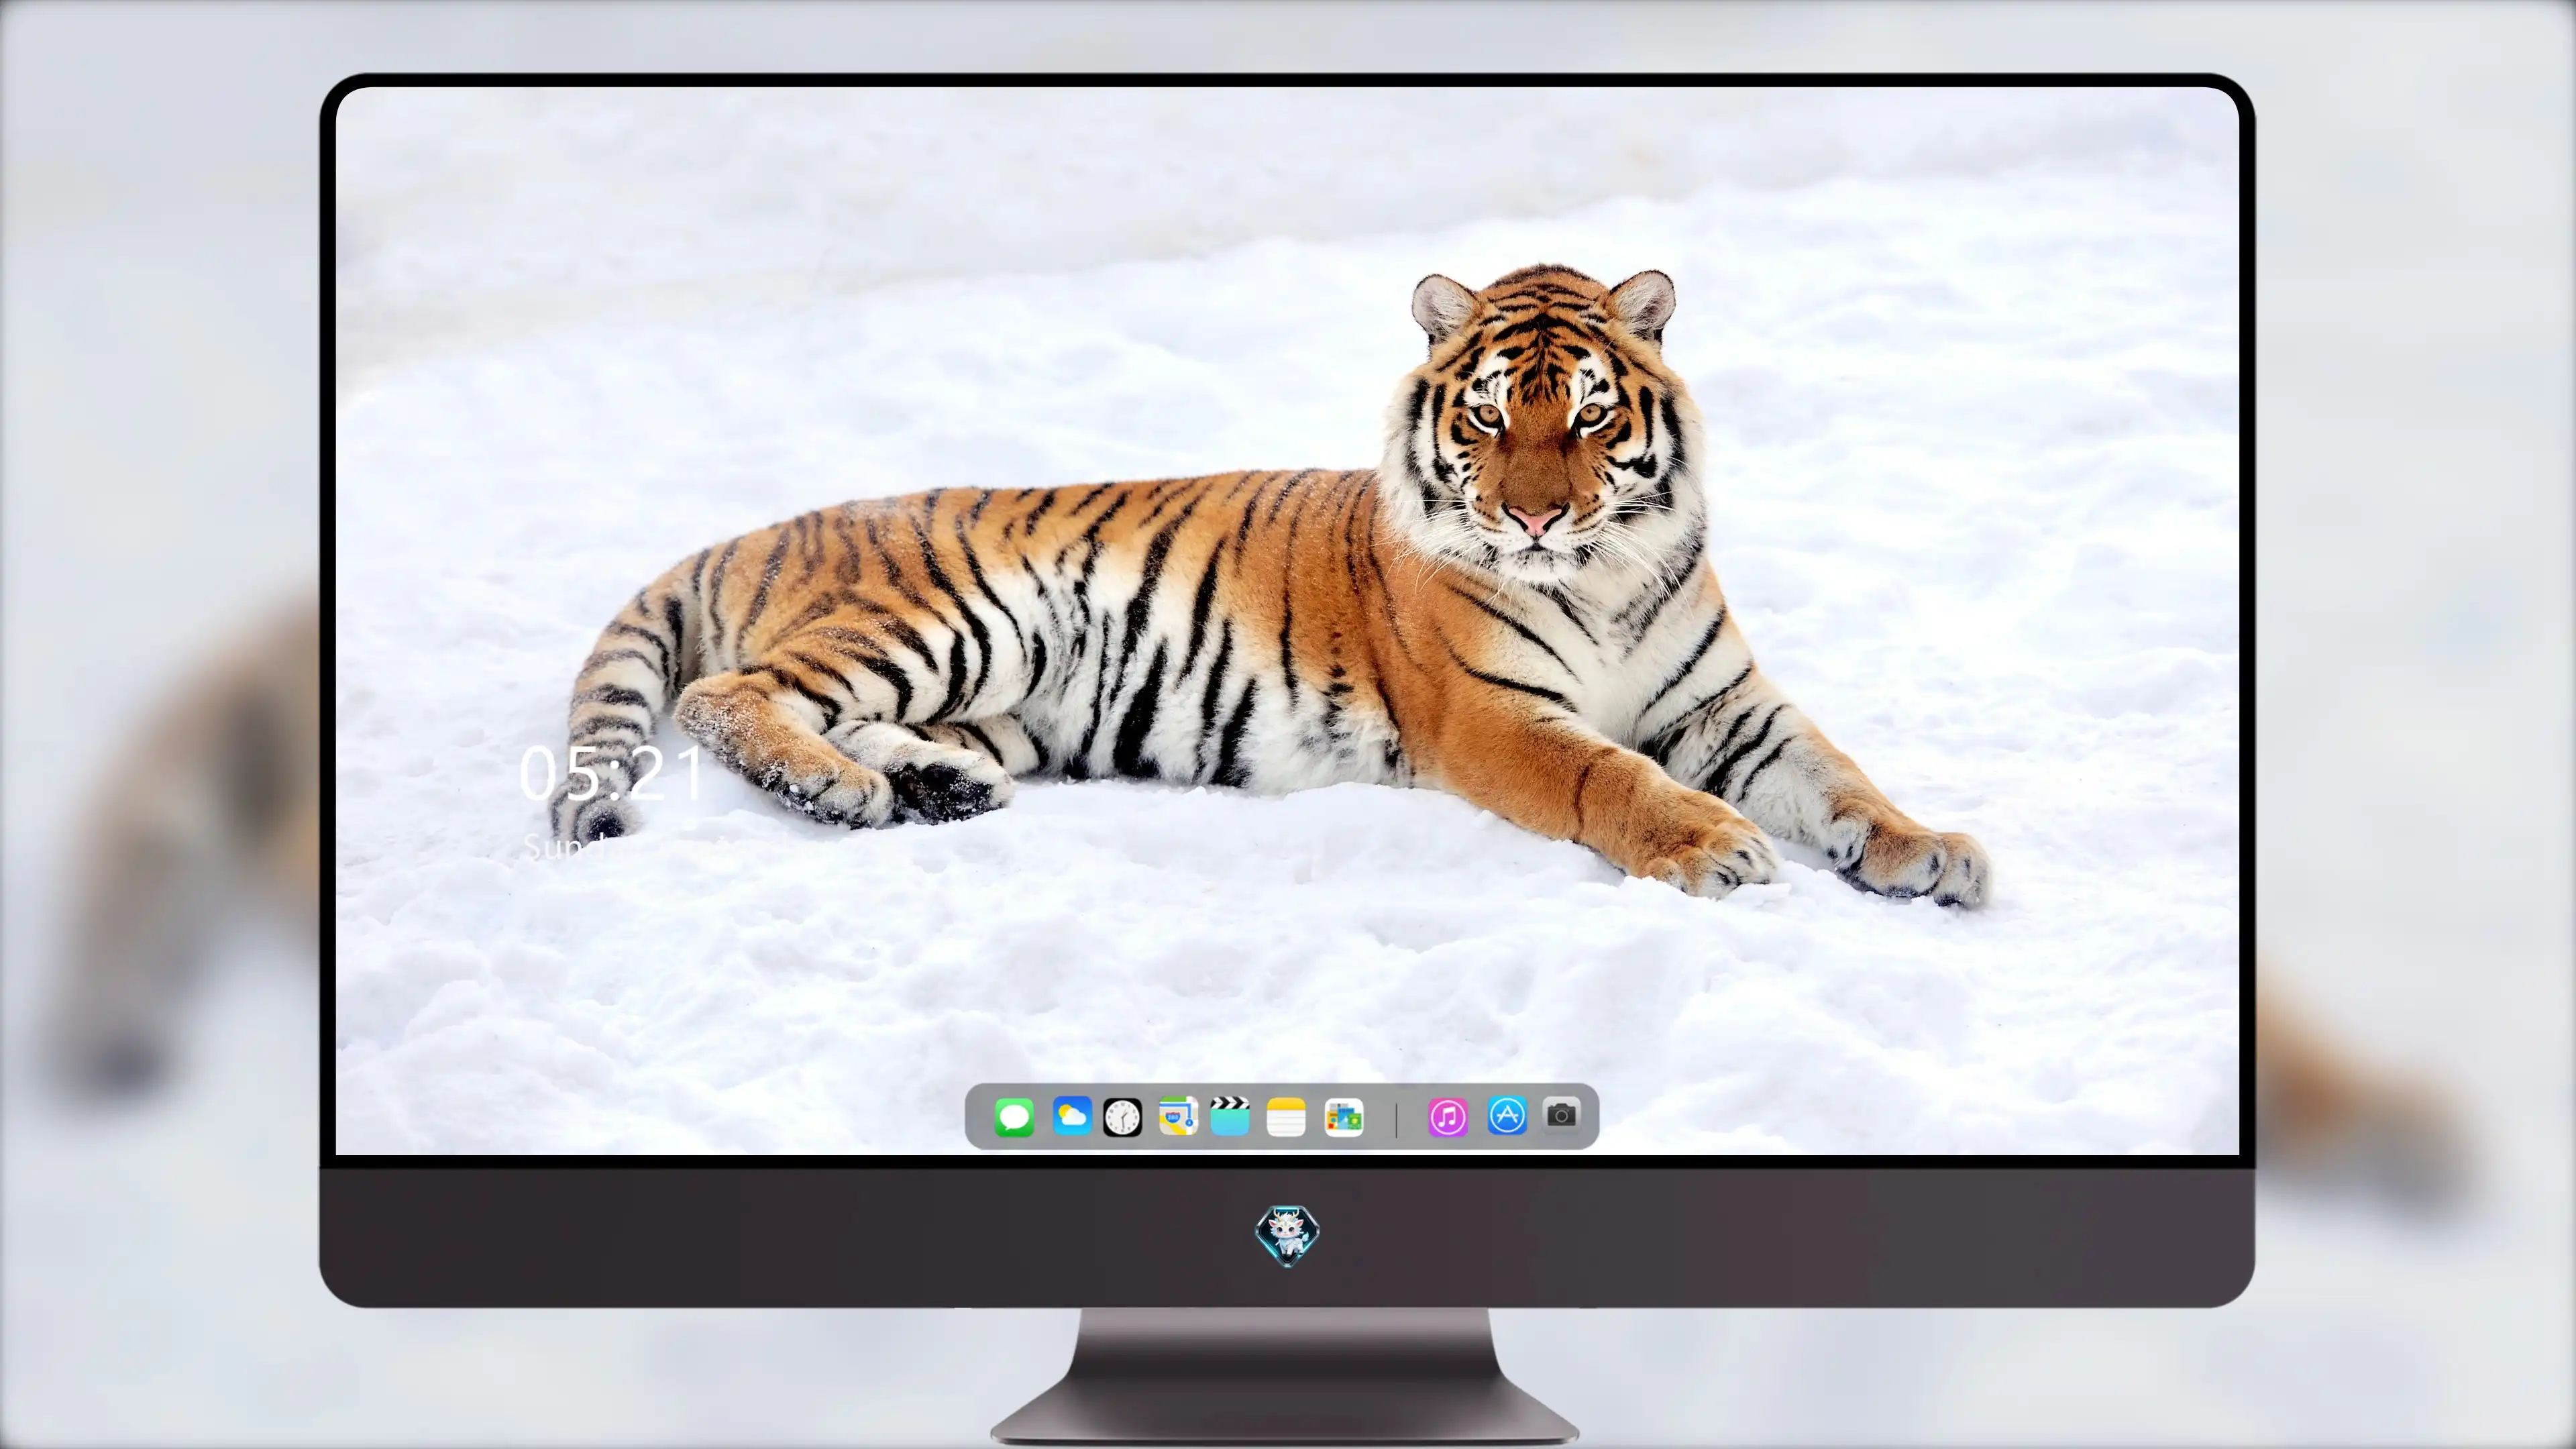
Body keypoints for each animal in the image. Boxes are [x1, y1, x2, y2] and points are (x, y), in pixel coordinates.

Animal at [546, 264, 1991, 907]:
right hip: (958, 616)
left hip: (993, 698)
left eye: (1585, 416)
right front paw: (1717, 849)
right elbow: (1615, 779)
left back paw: (935, 789)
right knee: (737, 699)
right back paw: (842, 791)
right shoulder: (1494, 715)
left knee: (859, 723)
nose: (1532, 514)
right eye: (1486, 418)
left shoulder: (1728, 704)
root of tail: (765, 527)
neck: (1609, 572)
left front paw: (1930, 852)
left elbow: (1838, 775)